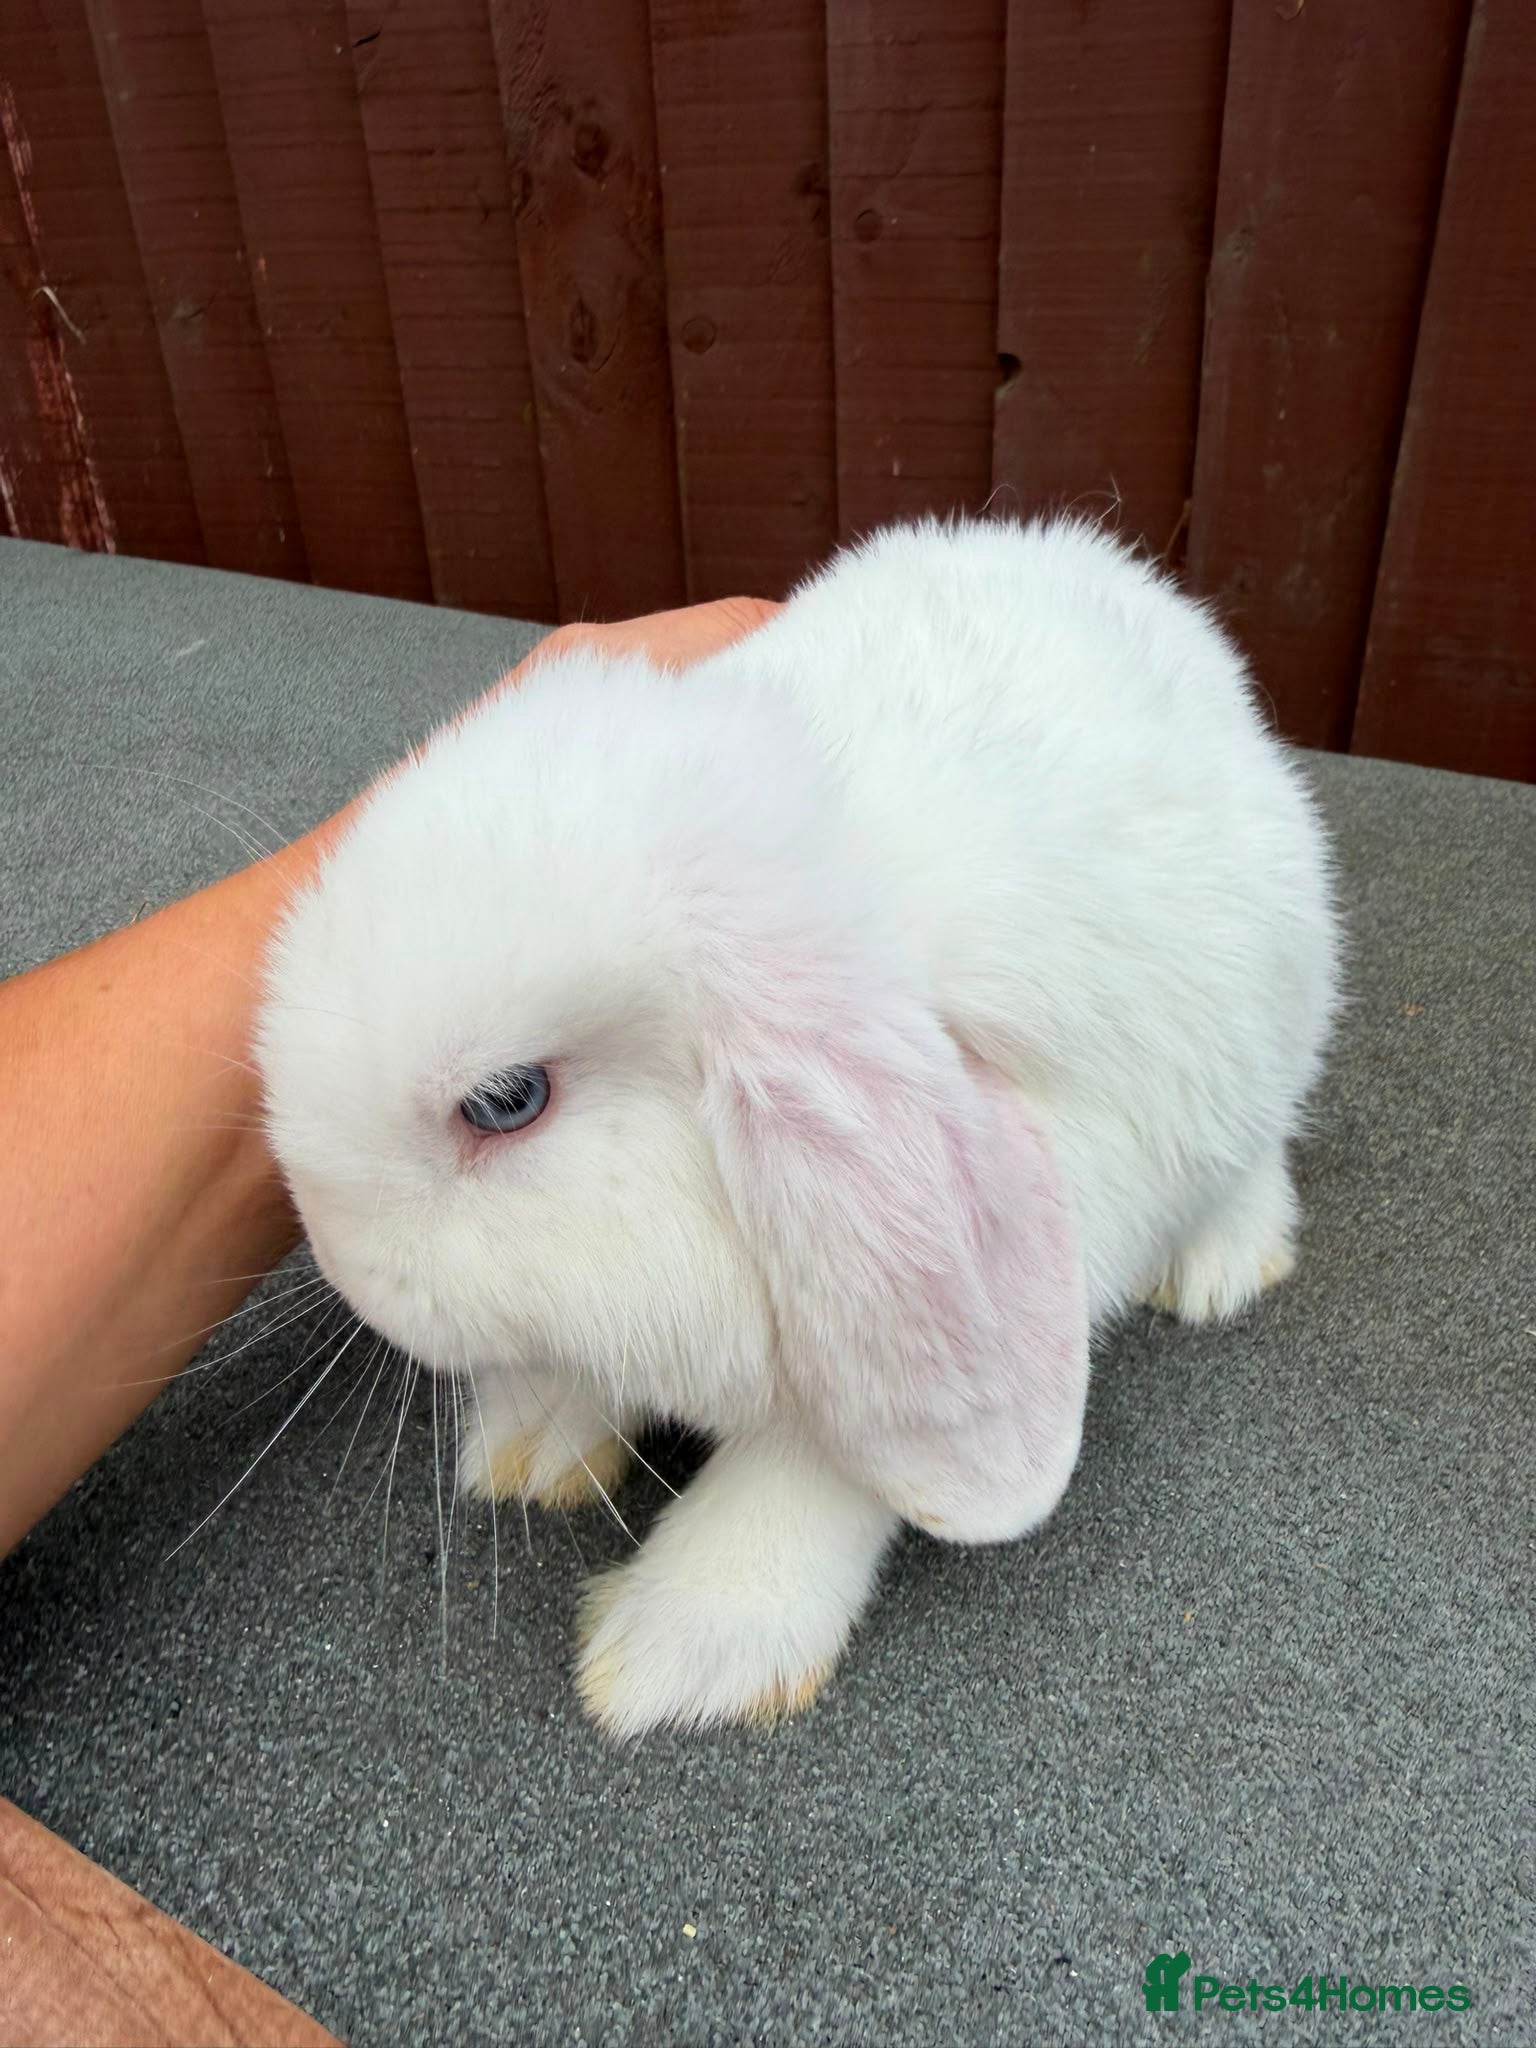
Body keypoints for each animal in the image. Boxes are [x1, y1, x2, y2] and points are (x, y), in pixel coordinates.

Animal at [256, 515, 1340, 1738]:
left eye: (506, 1100)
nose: (343, 1265)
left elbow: (829, 1463)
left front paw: (685, 1648)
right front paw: (533, 1440)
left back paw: (1219, 1266)